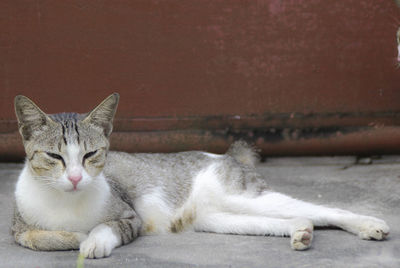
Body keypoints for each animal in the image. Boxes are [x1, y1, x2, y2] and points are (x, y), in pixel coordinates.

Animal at [11, 93, 388, 258]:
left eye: (91, 155)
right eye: (55, 157)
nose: (75, 178)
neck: (66, 202)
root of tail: (227, 156)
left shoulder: (130, 217)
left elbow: (106, 228)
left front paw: (91, 241)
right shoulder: (17, 228)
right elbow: (36, 238)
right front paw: (73, 236)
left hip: (244, 196)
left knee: (325, 210)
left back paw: (369, 225)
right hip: (216, 218)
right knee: (299, 217)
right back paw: (301, 231)